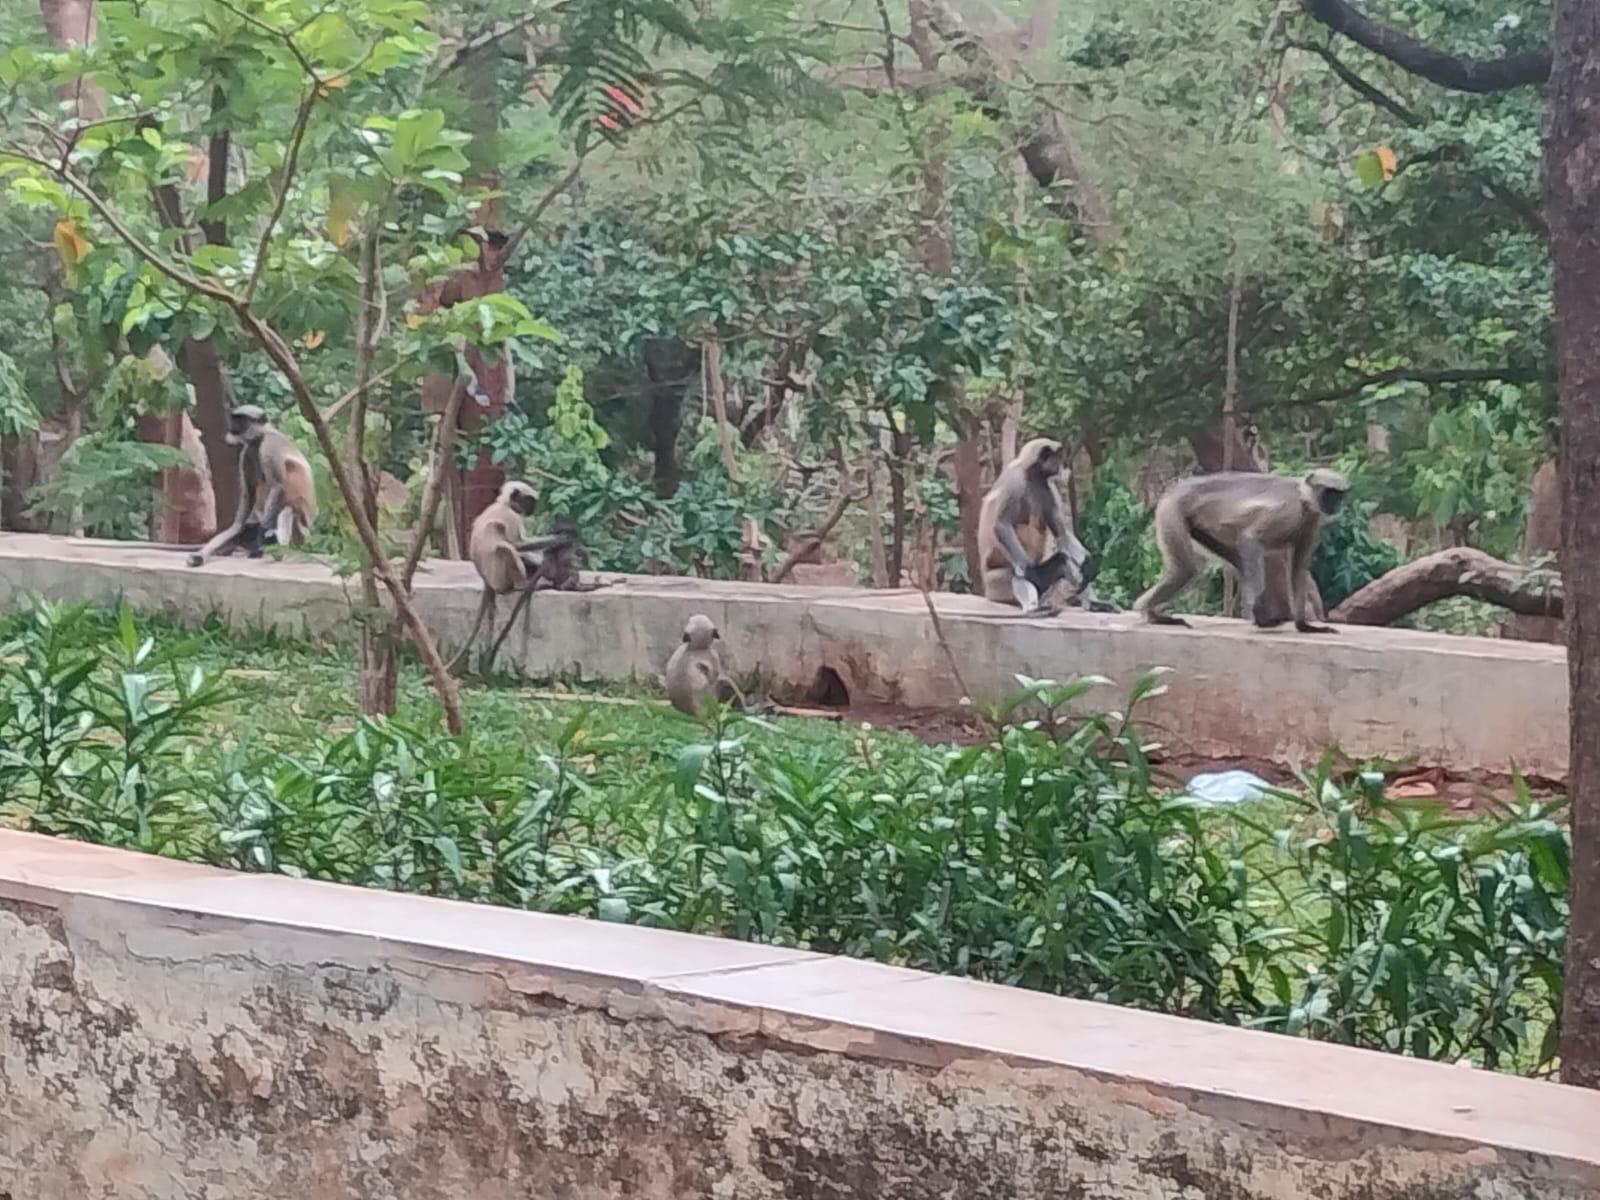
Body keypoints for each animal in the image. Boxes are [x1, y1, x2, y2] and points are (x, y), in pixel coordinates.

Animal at [188, 406, 316, 567]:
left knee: (287, 508)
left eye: (241, 420)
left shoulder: (269, 446)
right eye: (234, 419)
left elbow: (277, 486)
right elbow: (248, 496)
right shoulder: (248, 451)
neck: (261, 436)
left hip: (300, 531)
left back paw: (279, 552)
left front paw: (262, 535)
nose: (232, 426)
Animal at [977, 437, 1116, 616]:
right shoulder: (1016, 481)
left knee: (1064, 560)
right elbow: (1001, 525)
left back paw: (1091, 603)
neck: (1033, 475)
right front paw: (1031, 572)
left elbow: (1061, 534)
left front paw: (1087, 561)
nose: (1062, 465)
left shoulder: (1046, 487)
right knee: (1018, 572)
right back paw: (1032, 608)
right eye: (1057, 459)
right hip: (995, 584)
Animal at [1133, 468, 1350, 633]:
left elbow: (1297, 569)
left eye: (1338, 496)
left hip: (1197, 529)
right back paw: (1150, 613)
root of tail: (1175, 490)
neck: (1303, 497)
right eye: (1328, 494)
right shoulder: (1289, 510)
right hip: (1171, 512)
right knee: (1185, 570)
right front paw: (1262, 617)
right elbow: (1251, 538)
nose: (1335, 505)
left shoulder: (1311, 520)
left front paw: (1303, 625)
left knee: (1238, 563)